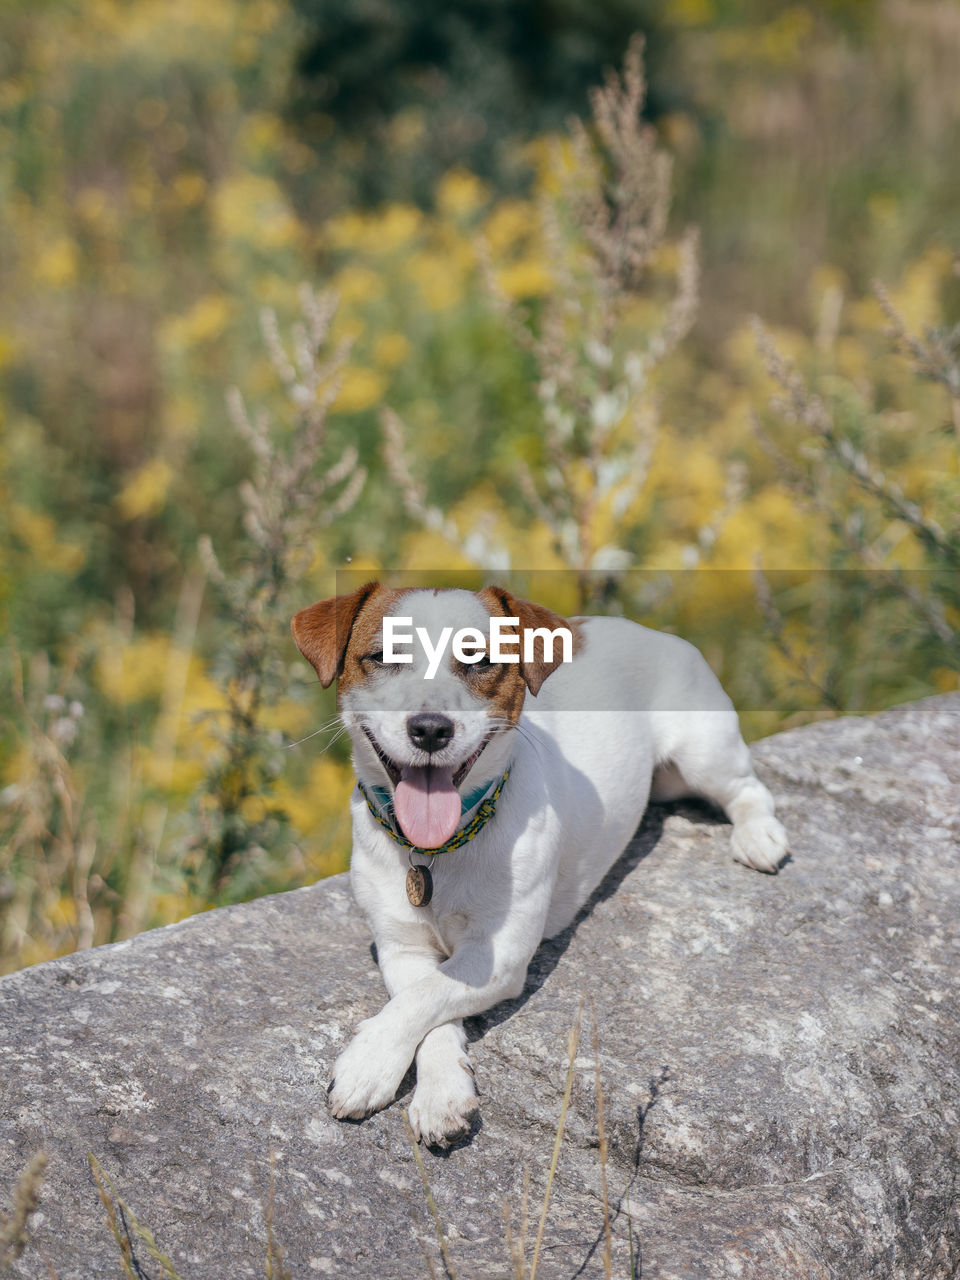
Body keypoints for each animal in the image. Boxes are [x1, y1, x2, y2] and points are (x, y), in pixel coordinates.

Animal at [293, 586, 788, 1146]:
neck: (442, 847)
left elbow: (425, 998)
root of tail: (653, 631)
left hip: (703, 753)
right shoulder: (401, 948)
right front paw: (439, 1090)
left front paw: (367, 1064)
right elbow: (423, 1001)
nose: (431, 728)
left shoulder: (499, 957)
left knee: (749, 788)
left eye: (480, 660)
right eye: (381, 656)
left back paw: (759, 835)